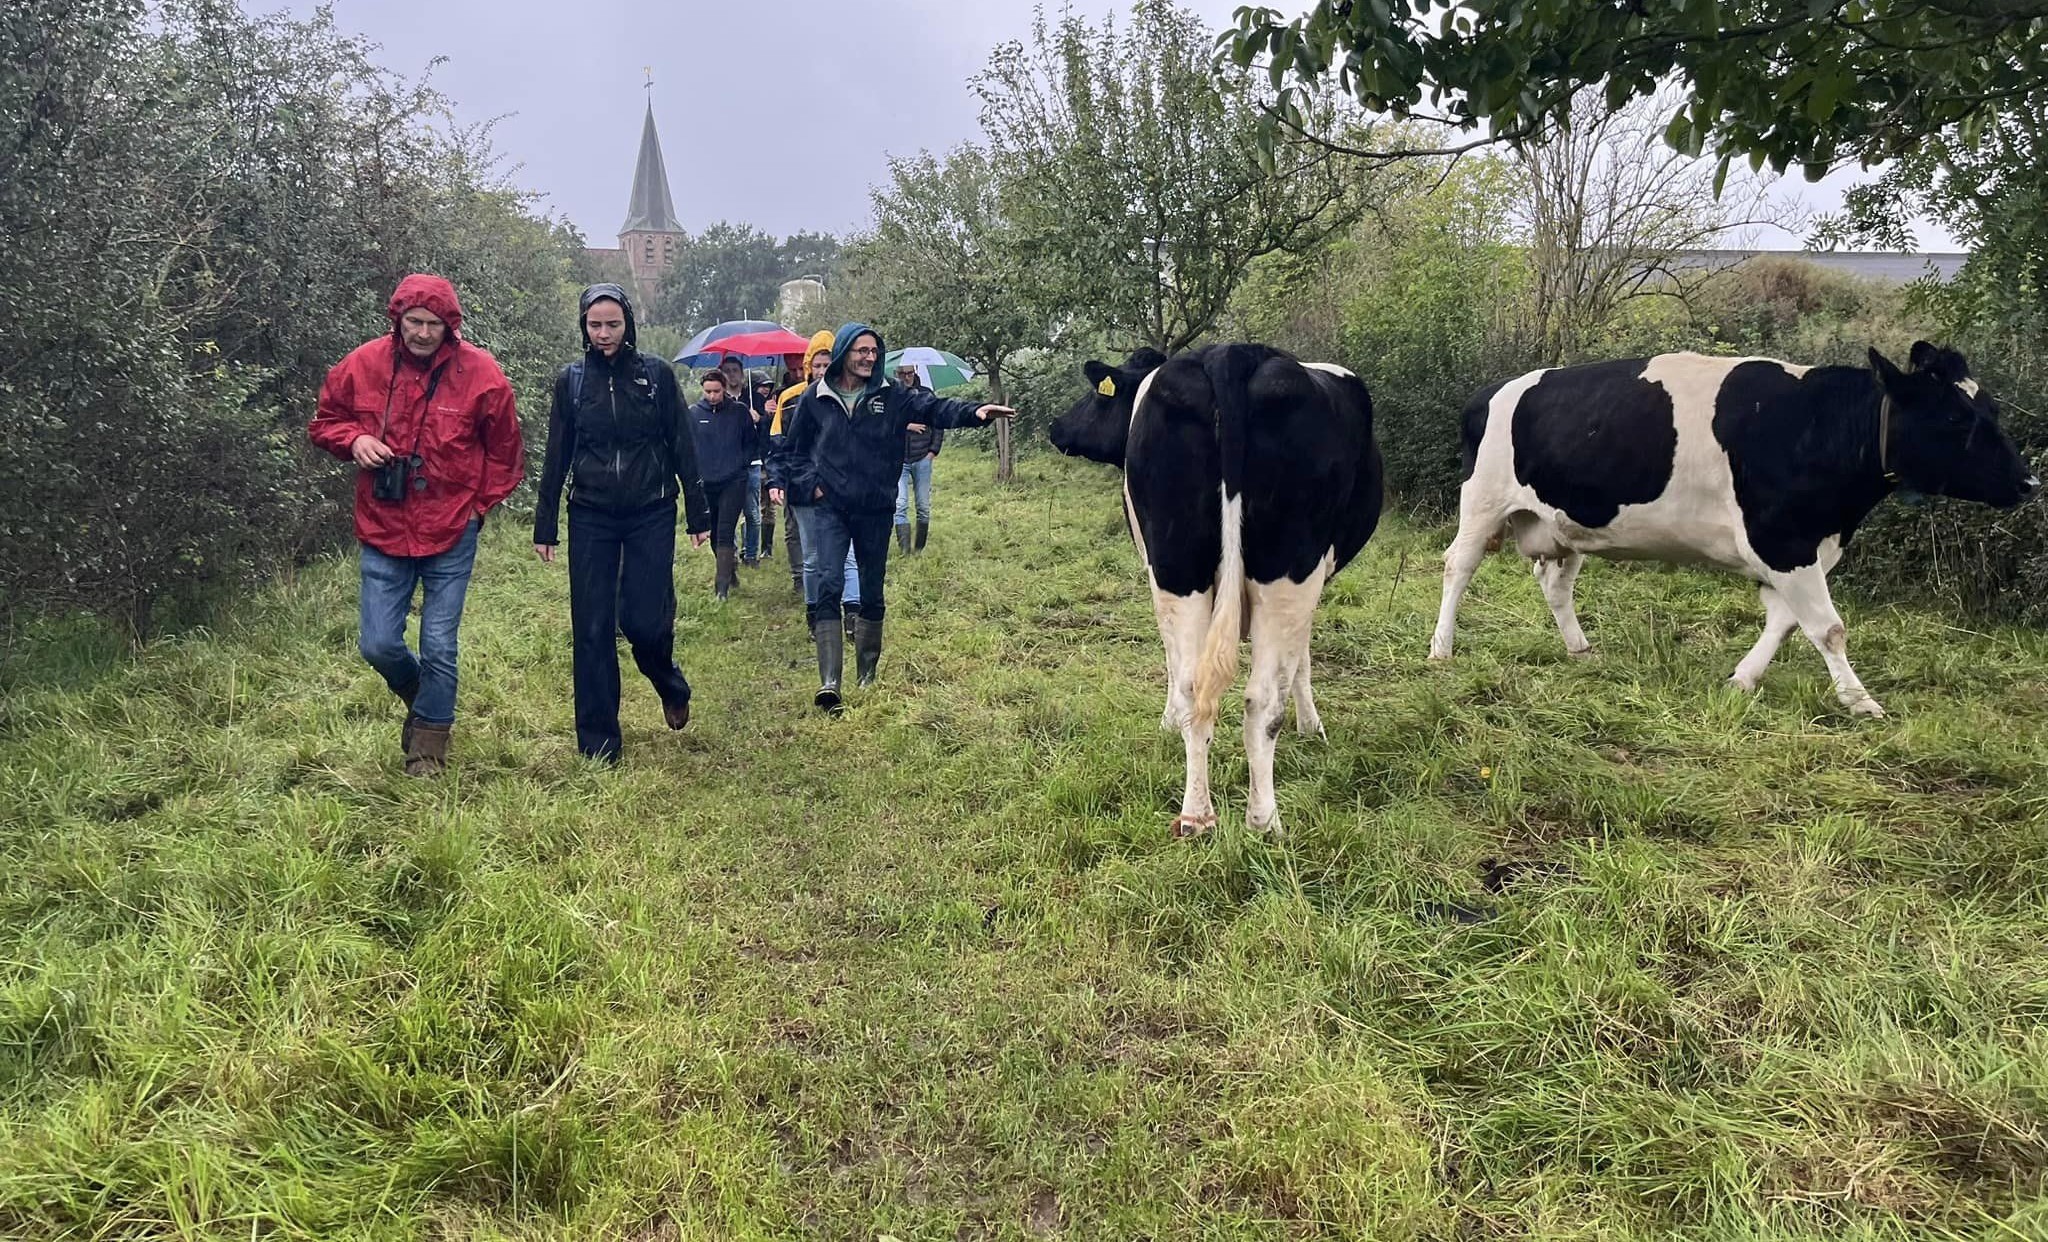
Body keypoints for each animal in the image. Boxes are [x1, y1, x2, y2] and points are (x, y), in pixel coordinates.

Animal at [1048, 346, 1384, 840]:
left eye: (1095, 397)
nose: (1055, 426)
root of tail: (1232, 354)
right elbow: (1300, 659)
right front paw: (1312, 725)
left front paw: (1168, 723)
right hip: (1288, 566)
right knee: (1262, 700)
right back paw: (1264, 821)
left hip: (1179, 564)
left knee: (1196, 686)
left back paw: (1196, 815)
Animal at [1433, 342, 2039, 721]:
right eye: (1956, 418)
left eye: (1989, 409)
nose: (2029, 481)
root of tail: (1491, 391)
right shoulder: (1783, 540)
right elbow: (1828, 629)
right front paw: (1859, 700)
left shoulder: (1802, 548)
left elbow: (1786, 621)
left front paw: (1743, 680)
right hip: (1483, 502)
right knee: (1457, 567)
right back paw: (1442, 649)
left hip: (1569, 521)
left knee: (1555, 585)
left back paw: (1581, 649)